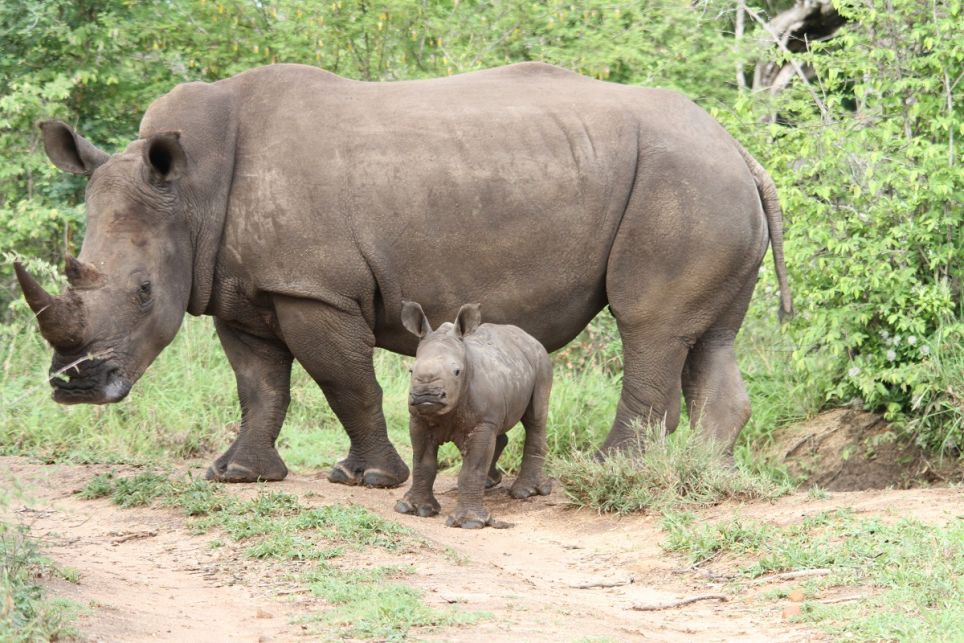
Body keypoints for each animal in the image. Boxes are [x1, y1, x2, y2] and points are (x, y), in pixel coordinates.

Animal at [17, 63, 792, 486]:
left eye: (143, 291)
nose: (74, 387)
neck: (192, 189)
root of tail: (743, 151)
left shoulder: (315, 288)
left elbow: (345, 382)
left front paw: (365, 477)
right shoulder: (242, 287)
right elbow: (258, 384)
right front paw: (237, 473)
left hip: (682, 183)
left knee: (648, 326)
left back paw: (613, 472)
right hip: (710, 186)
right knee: (709, 339)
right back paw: (702, 475)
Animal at [396, 302, 552, 528]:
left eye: (457, 372)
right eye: (411, 371)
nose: (427, 395)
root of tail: (529, 337)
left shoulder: (482, 423)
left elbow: (472, 468)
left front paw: (470, 523)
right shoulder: (418, 419)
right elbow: (422, 462)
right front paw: (414, 509)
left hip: (541, 361)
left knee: (535, 419)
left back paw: (525, 492)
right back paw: (490, 483)